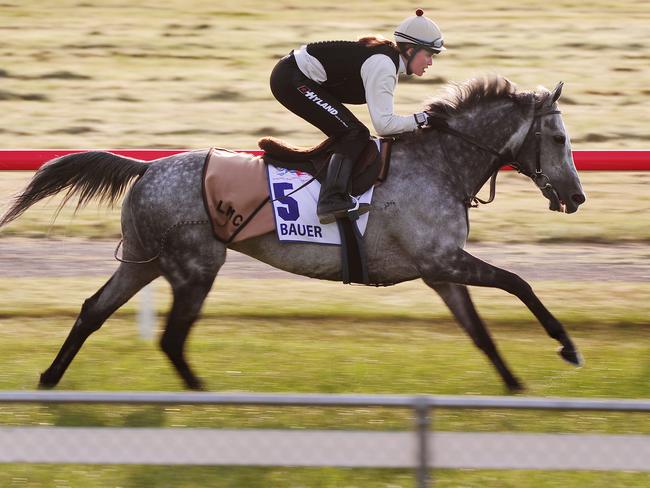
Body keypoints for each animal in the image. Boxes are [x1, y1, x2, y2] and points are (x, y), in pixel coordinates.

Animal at [0, 77, 584, 392]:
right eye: (558, 138)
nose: (576, 197)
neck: (439, 163)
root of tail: (145, 168)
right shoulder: (442, 260)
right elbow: (518, 282)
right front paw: (567, 347)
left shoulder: (439, 271)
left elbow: (480, 332)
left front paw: (514, 384)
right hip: (194, 266)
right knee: (171, 336)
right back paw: (203, 396)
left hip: (142, 261)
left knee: (93, 311)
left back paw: (49, 381)